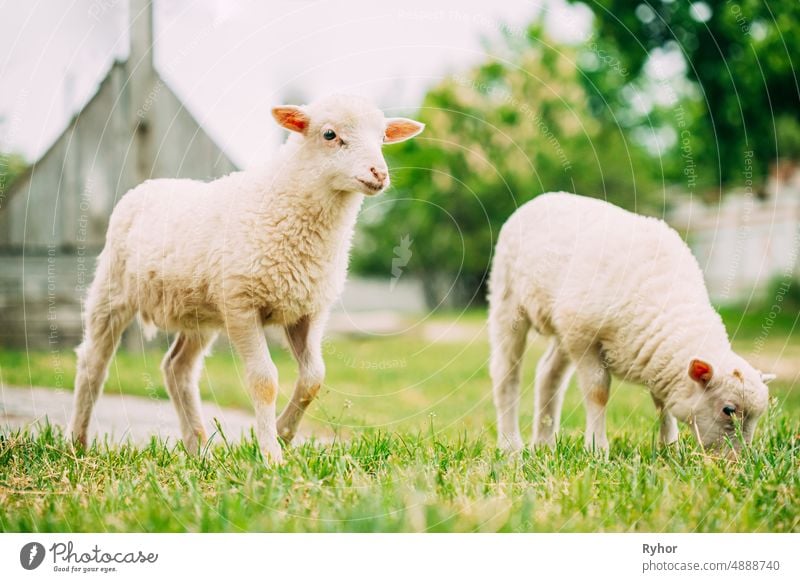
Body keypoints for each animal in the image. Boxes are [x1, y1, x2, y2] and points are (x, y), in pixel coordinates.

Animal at [69, 93, 424, 464]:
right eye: (329, 134)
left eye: (383, 138)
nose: (378, 173)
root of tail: (147, 185)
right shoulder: (241, 305)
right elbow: (264, 381)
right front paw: (270, 455)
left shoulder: (307, 310)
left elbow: (314, 377)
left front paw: (283, 433)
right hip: (112, 289)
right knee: (92, 363)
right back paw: (77, 443)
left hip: (198, 313)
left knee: (177, 368)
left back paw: (198, 449)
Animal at [488, 194, 776, 454]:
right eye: (728, 410)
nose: (736, 461)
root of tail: (539, 199)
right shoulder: (587, 339)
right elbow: (598, 392)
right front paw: (597, 450)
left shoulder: (657, 359)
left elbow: (662, 402)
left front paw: (669, 447)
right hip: (509, 298)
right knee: (506, 374)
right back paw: (511, 446)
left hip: (564, 328)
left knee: (548, 373)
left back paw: (543, 444)